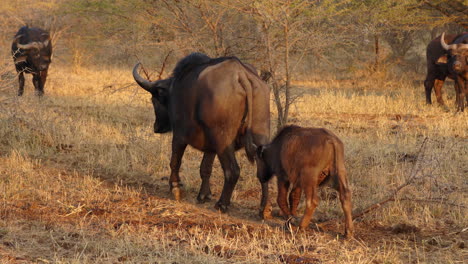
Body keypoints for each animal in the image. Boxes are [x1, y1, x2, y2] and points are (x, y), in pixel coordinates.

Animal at [132, 53, 272, 217]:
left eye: (155, 100)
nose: (157, 127)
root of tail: (242, 76)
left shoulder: (179, 136)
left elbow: (175, 161)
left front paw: (176, 187)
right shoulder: (210, 147)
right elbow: (205, 168)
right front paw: (204, 195)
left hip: (223, 141)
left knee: (233, 170)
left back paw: (222, 204)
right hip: (259, 136)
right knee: (263, 172)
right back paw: (264, 209)